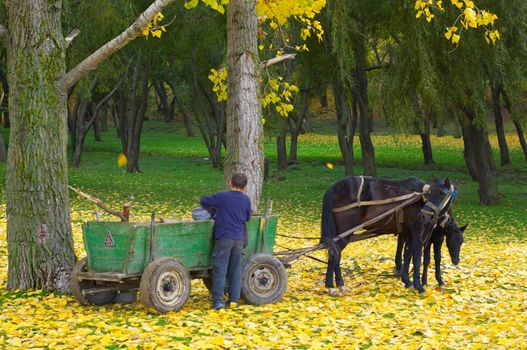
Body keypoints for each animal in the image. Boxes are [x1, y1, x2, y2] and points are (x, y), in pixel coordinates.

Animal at [320, 176, 456, 294]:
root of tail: (336, 187)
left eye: (442, 193)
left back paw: (336, 284)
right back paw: (333, 285)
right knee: (335, 254)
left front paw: (407, 281)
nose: (422, 216)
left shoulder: (408, 232)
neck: (420, 199)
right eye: (430, 193)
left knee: (335, 253)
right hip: (345, 233)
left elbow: (407, 255)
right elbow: (417, 258)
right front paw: (419, 286)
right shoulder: (417, 232)